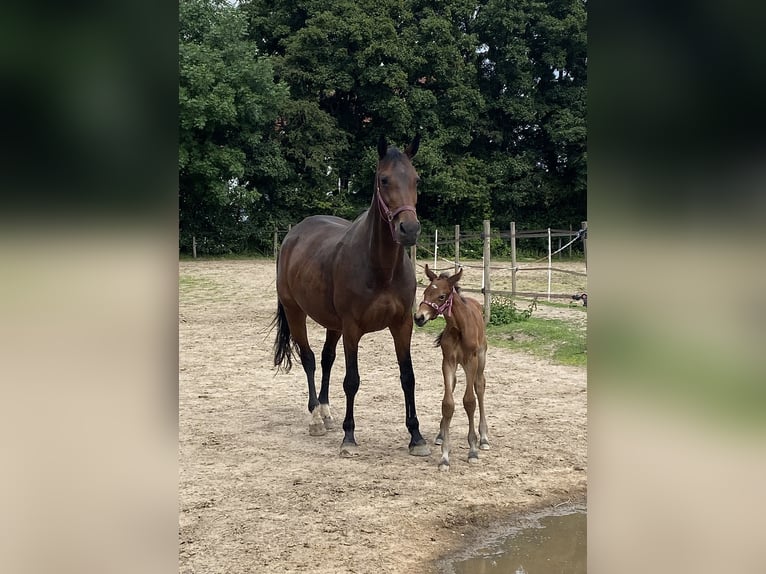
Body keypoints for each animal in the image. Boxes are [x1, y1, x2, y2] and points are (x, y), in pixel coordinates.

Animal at [272, 134, 430, 458]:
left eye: (416, 179)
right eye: (384, 180)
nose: (409, 229)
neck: (381, 268)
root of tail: (293, 234)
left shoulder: (402, 325)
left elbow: (408, 377)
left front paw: (416, 437)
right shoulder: (353, 328)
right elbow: (352, 381)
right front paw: (349, 437)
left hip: (333, 325)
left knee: (326, 359)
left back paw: (326, 412)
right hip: (297, 313)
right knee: (309, 359)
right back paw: (315, 418)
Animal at [414, 264, 489, 470]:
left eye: (441, 296)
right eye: (425, 292)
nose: (418, 317)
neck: (458, 327)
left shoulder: (471, 361)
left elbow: (469, 401)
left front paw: (473, 450)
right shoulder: (447, 361)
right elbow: (448, 403)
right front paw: (445, 456)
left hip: (481, 358)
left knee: (480, 386)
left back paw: (484, 437)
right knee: (454, 385)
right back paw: (441, 434)